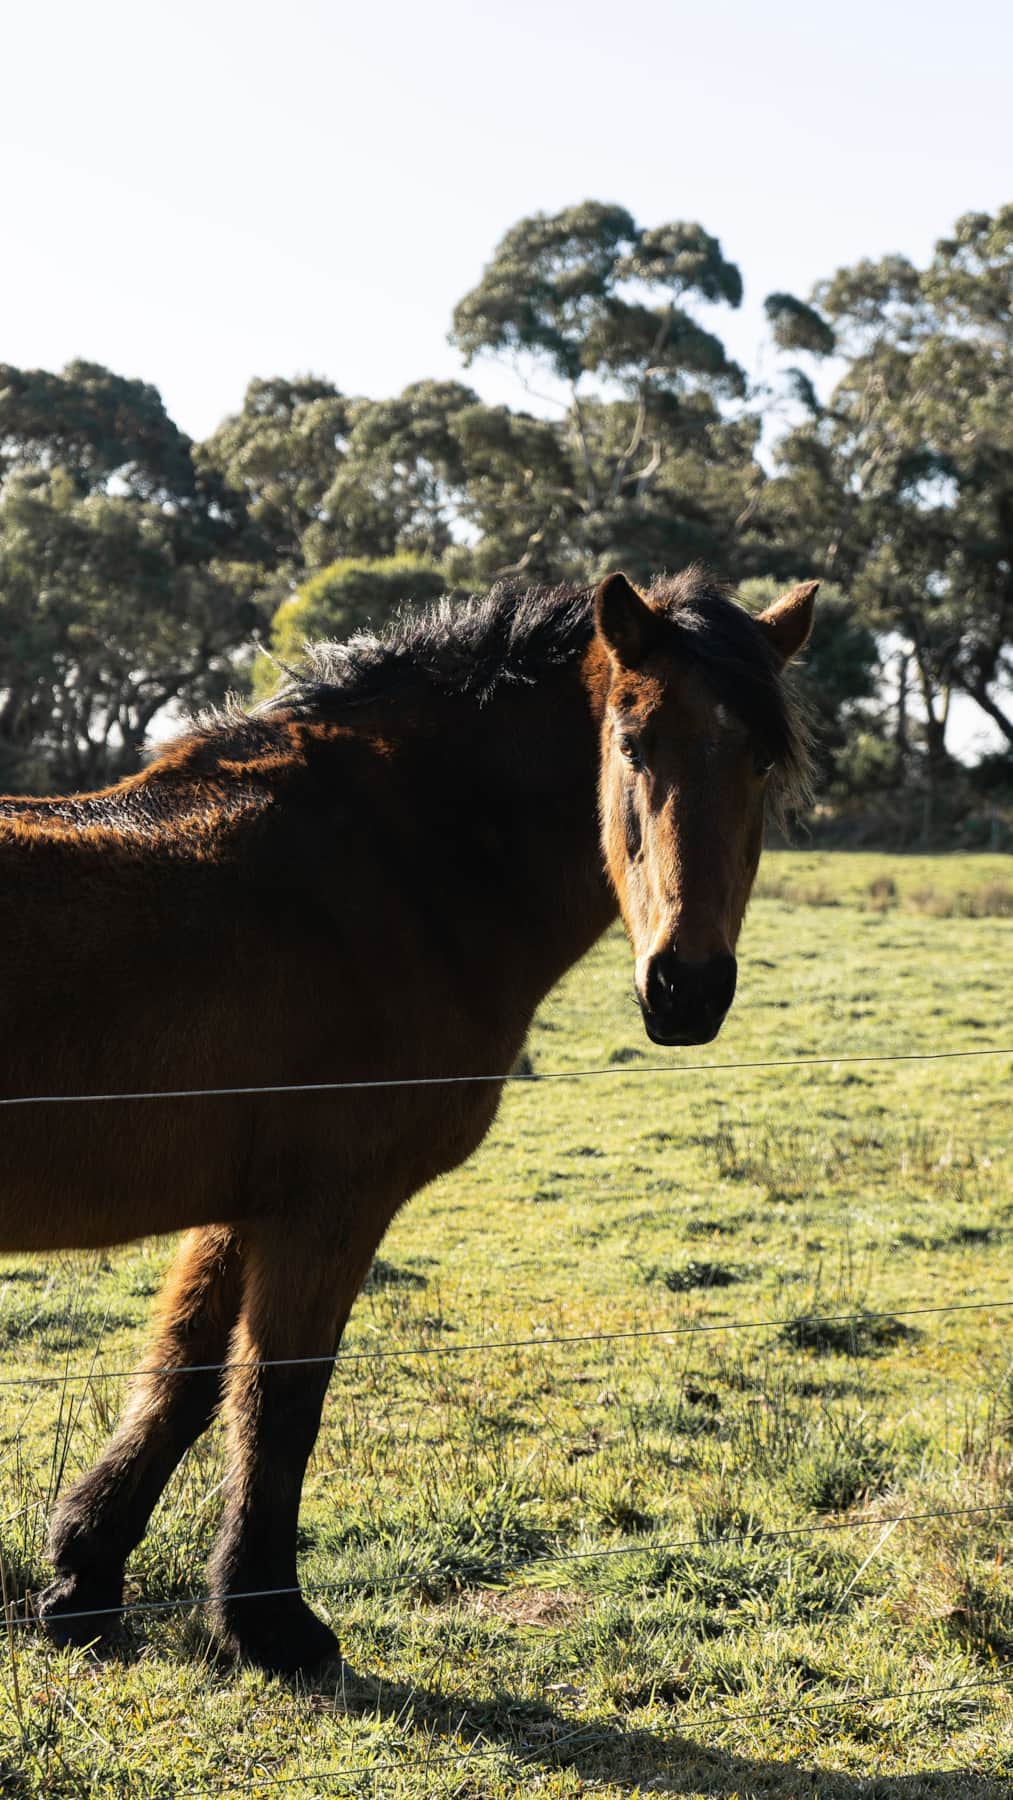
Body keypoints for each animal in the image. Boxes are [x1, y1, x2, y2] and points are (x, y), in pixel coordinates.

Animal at [0, 566, 816, 1672]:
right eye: (631, 742)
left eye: (760, 758)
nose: (684, 989)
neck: (395, 870)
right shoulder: (330, 1206)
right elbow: (280, 1397)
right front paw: (269, 1619)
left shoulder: (249, 1204)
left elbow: (185, 1377)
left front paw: (85, 1579)